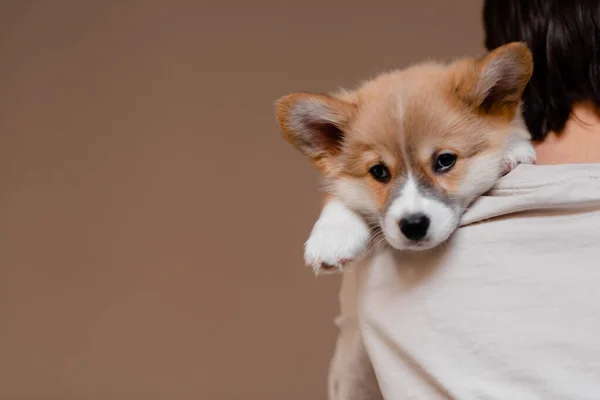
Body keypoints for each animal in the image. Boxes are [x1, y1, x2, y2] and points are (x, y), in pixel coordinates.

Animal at [276, 43, 536, 276]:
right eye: (378, 171)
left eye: (445, 160)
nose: (413, 226)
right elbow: (338, 194)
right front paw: (332, 237)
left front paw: (514, 150)